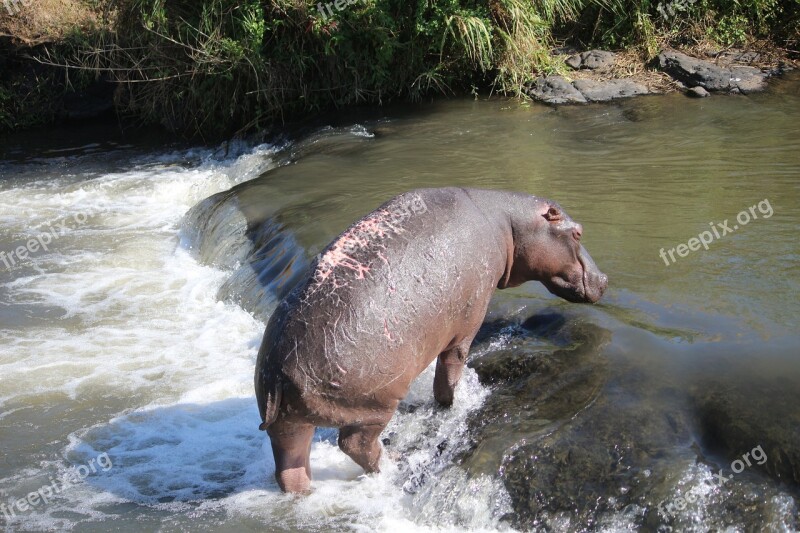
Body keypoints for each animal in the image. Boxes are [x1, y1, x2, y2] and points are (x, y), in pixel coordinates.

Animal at [255, 187, 608, 490]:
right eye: (577, 232)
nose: (605, 279)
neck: (510, 223)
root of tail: (277, 371)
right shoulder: (466, 325)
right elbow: (450, 370)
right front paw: (451, 404)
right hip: (374, 405)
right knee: (355, 444)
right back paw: (395, 462)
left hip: (287, 424)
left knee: (290, 469)